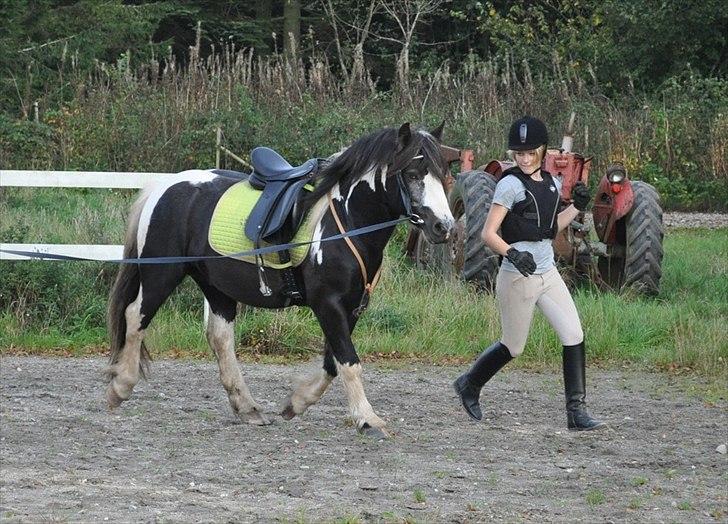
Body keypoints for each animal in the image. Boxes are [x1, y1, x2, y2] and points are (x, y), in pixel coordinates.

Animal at [105, 124, 452, 438]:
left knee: (220, 337)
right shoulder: (328, 304)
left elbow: (333, 362)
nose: (443, 227)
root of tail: (163, 186)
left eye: (443, 174)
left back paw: (247, 407)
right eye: (412, 173)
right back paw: (120, 386)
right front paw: (368, 419)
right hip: (162, 274)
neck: (346, 221)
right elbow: (349, 362)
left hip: (215, 286)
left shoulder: (352, 306)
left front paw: (296, 403)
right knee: (135, 317)